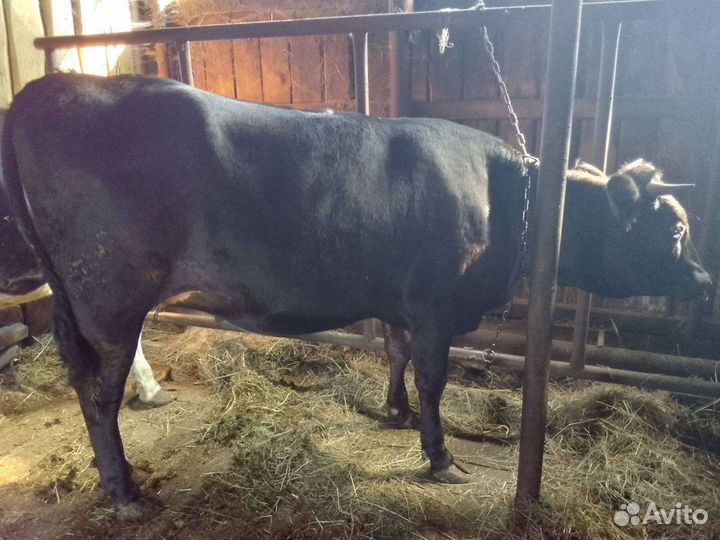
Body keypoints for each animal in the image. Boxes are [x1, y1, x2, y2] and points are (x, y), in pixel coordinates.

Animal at [0, 73, 711, 515]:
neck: (512, 200)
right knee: (99, 393)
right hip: (110, 300)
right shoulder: (436, 307)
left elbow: (397, 355)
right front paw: (439, 455)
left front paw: (393, 412)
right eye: (674, 230)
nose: (705, 283)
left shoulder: (401, 303)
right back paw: (123, 489)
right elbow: (433, 378)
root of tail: (47, 87)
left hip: (79, 301)